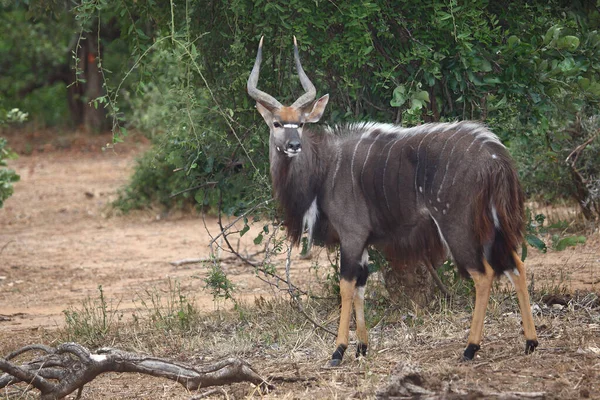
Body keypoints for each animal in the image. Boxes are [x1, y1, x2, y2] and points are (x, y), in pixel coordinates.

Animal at [247, 37, 540, 366]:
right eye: (276, 124)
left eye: (299, 123)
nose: (294, 145)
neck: (324, 168)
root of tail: (495, 155)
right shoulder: (363, 242)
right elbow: (360, 285)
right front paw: (362, 347)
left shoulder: (352, 235)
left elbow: (346, 285)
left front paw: (338, 350)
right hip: (493, 224)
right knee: (516, 265)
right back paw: (530, 342)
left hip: (457, 226)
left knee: (484, 275)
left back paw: (470, 347)